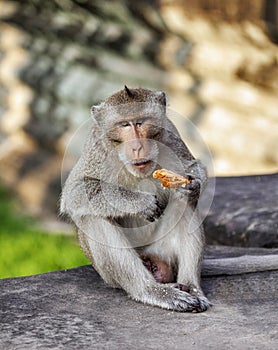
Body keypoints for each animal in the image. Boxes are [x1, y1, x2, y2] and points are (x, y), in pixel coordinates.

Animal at [59, 86, 210, 314]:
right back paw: (151, 291)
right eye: (124, 125)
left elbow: (191, 167)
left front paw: (193, 186)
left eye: (140, 122)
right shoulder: (96, 148)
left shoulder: (171, 134)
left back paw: (191, 287)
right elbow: (74, 191)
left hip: (161, 250)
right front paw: (139, 203)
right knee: (92, 217)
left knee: (184, 203)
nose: (137, 147)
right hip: (109, 275)